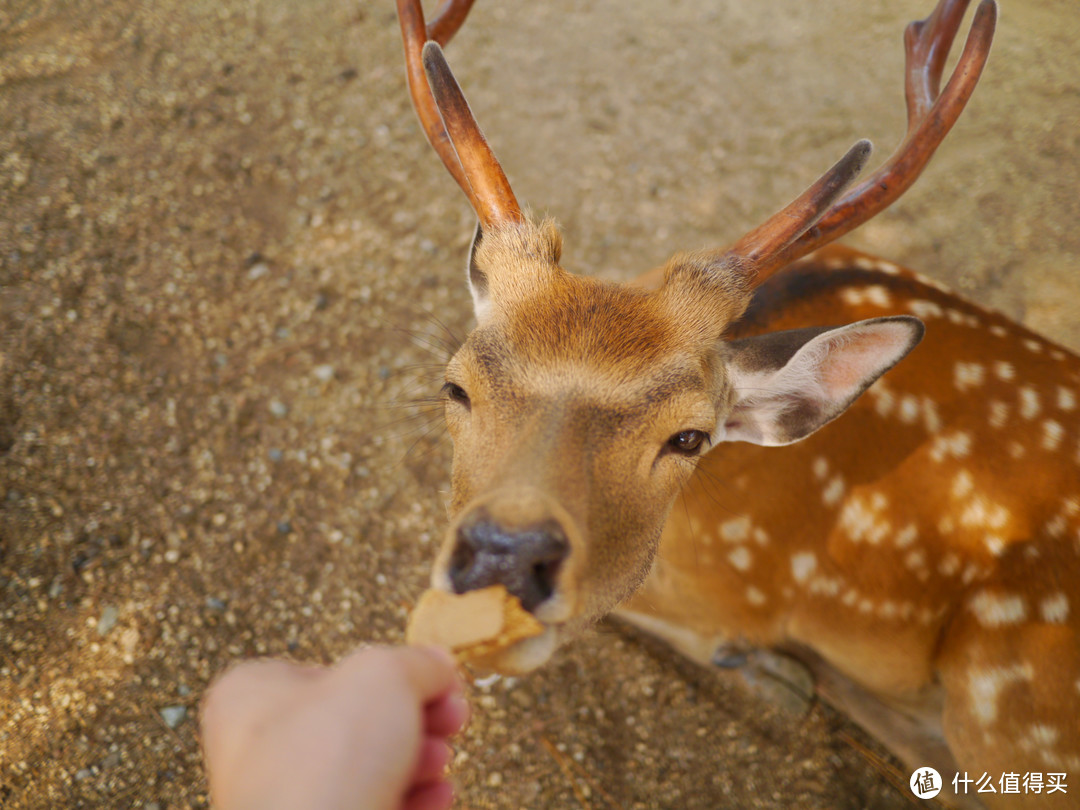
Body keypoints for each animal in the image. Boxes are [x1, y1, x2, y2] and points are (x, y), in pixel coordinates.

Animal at [393, 0, 1075, 807]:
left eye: (688, 437)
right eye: (456, 384)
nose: (505, 552)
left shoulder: (740, 587)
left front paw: (767, 666)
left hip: (1014, 685)